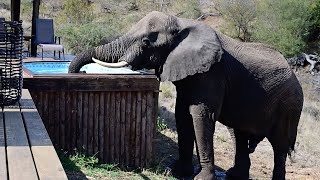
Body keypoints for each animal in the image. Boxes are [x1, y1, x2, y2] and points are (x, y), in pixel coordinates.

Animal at [69, 11, 304, 180]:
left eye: (146, 42)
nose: (79, 73)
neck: (182, 24)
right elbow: (182, 115)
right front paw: (178, 172)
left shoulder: (212, 73)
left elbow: (200, 115)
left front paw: (201, 178)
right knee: (239, 133)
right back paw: (234, 175)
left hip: (290, 105)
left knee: (279, 145)